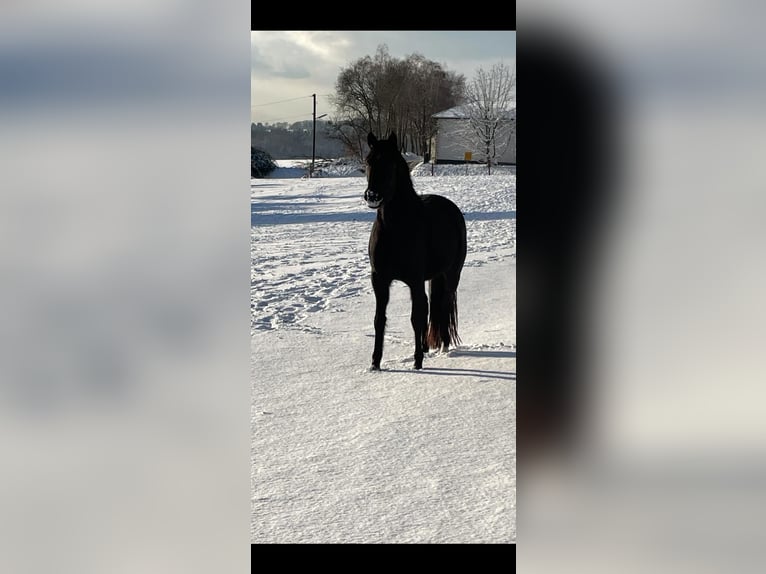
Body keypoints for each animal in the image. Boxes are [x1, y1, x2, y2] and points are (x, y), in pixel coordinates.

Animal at [363, 132, 467, 370]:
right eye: (368, 161)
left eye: (390, 163)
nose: (372, 195)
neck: (396, 228)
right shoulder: (380, 279)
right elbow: (379, 319)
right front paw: (375, 363)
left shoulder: (414, 279)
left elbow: (415, 319)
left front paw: (417, 362)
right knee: (429, 306)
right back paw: (429, 347)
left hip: (451, 275)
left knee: (444, 305)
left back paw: (443, 347)